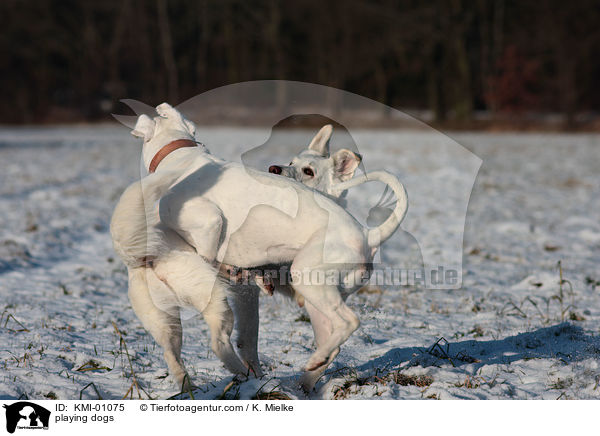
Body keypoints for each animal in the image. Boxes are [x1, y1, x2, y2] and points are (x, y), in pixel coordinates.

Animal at [109, 104, 406, 392]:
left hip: (302, 281)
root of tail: (369, 234)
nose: (275, 168)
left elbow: (208, 254)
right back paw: (303, 374)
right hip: (314, 303)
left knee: (346, 323)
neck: (183, 155)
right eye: (291, 163)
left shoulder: (209, 223)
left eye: (309, 171)